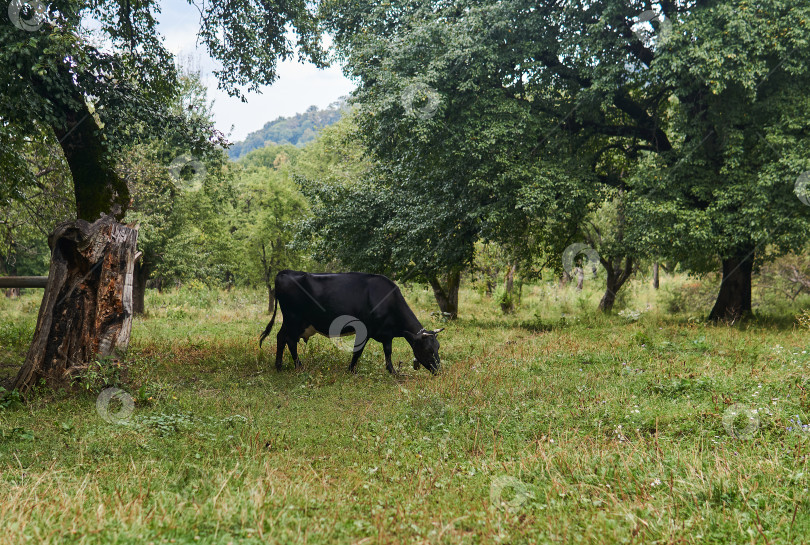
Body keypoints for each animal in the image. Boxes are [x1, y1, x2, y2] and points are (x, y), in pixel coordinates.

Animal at [260, 268, 442, 374]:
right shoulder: (365, 329)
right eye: (428, 349)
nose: (438, 371)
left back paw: (280, 366)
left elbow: (388, 351)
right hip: (293, 318)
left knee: (281, 337)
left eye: (437, 347)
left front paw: (392, 371)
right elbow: (358, 351)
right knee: (288, 340)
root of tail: (285, 272)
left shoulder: (386, 333)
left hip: (294, 321)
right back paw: (298, 366)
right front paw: (351, 370)